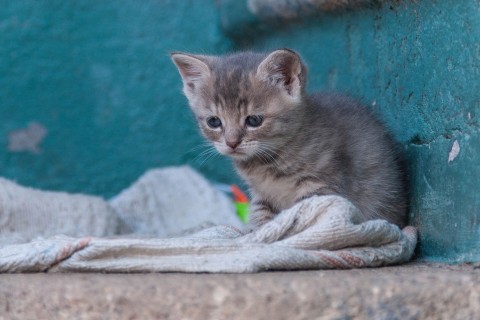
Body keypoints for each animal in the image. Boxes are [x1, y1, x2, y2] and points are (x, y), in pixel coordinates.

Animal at [171, 48, 406, 228]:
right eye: (214, 122)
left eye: (254, 120)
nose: (231, 143)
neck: (266, 163)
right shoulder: (262, 195)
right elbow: (261, 217)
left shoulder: (320, 186)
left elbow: (305, 215)